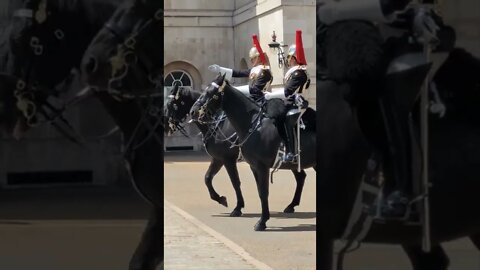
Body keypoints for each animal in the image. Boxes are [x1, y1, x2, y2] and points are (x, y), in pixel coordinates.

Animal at [189, 73, 316, 230]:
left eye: (210, 93)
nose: (193, 111)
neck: (251, 124)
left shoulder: (255, 165)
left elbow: (260, 191)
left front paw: (261, 221)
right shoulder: (250, 165)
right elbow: (258, 191)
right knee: (301, 178)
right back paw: (291, 206)